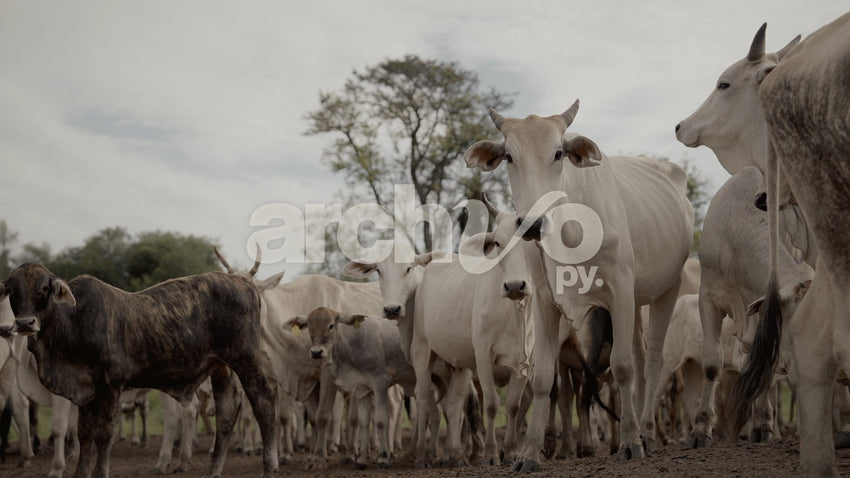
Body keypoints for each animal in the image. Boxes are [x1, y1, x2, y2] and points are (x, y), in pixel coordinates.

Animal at [4, 263, 278, 478]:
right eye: (12, 291)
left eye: (44, 289)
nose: (25, 323)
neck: (73, 322)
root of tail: (243, 282)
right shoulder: (84, 391)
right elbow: (85, 433)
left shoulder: (110, 385)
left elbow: (104, 433)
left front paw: (99, 472)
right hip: (221, 366)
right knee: (227, 411)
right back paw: (213, 471)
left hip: (245, 358)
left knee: (263, 401)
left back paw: (269, 467)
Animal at [285, 307, 414, 468]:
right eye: (309, 326)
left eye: (331, 325)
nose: (316, 352)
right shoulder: (363, 388)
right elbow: (363, 420)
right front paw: (362, 458)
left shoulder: (380, 384)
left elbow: (380, 420)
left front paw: (383, 457)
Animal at [464, 105, 694, 469]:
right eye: (509, 156)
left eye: (559, 153)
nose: (533, 223)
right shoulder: (545, 303)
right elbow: (543, 379)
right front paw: (528, 454)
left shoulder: (619, 292)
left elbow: (622, 368)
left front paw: (630, 443)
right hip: (636, 303)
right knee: (641, 356)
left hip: (667, 290)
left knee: (652, 359)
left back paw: (646, 433)